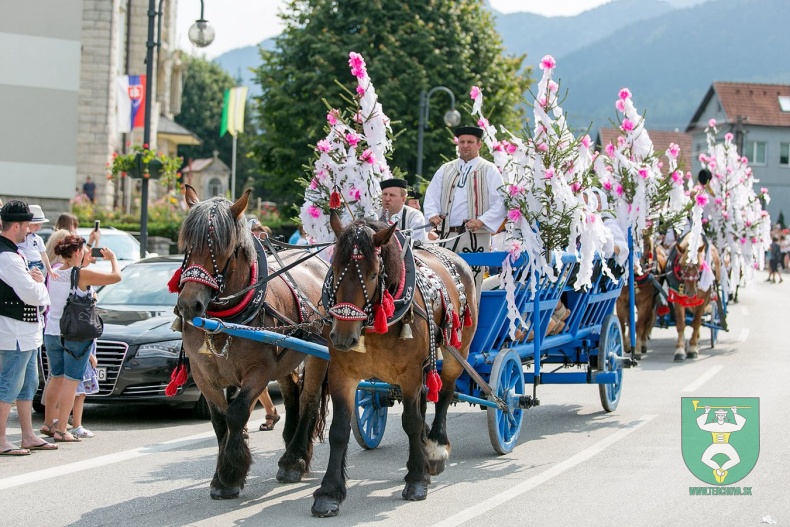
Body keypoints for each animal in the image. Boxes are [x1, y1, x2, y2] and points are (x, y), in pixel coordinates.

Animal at [175, 186, 330, 500]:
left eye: (222, 249)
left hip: (319, 353)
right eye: (187, 245)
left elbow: (236, 414)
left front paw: (231, 474)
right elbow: (219, 420)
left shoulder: (258, 371)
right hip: (288, 356)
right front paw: (221, 476)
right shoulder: (202, 374)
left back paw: (294, 459)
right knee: (292, 393)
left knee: (308, 399)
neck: (223, 321)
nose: (189, 304)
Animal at [310, 209, 480, 516]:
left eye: (373, 273)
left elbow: (410, 421)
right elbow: (338, 430)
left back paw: (435, 449)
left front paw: (416, 480)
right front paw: (329, 492)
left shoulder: (409, 373)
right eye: (334, 269)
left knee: (445, 394)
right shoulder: (342, 373)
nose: (343, 337)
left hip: (456, 350)